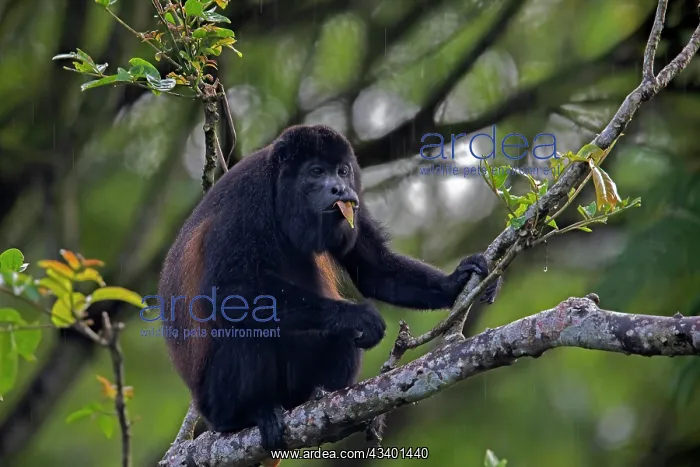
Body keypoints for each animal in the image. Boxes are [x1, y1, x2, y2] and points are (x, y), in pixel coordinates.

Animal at [158, 124, 499, 454]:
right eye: (317, 172)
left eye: (342, 171)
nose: (340, 188)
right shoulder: (245, 200)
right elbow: (229, 290)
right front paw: (356, 316)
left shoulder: (352, 210)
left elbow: (375, 269)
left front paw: (456, 281)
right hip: (215, 399)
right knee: (246, 332)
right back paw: (249, 415)